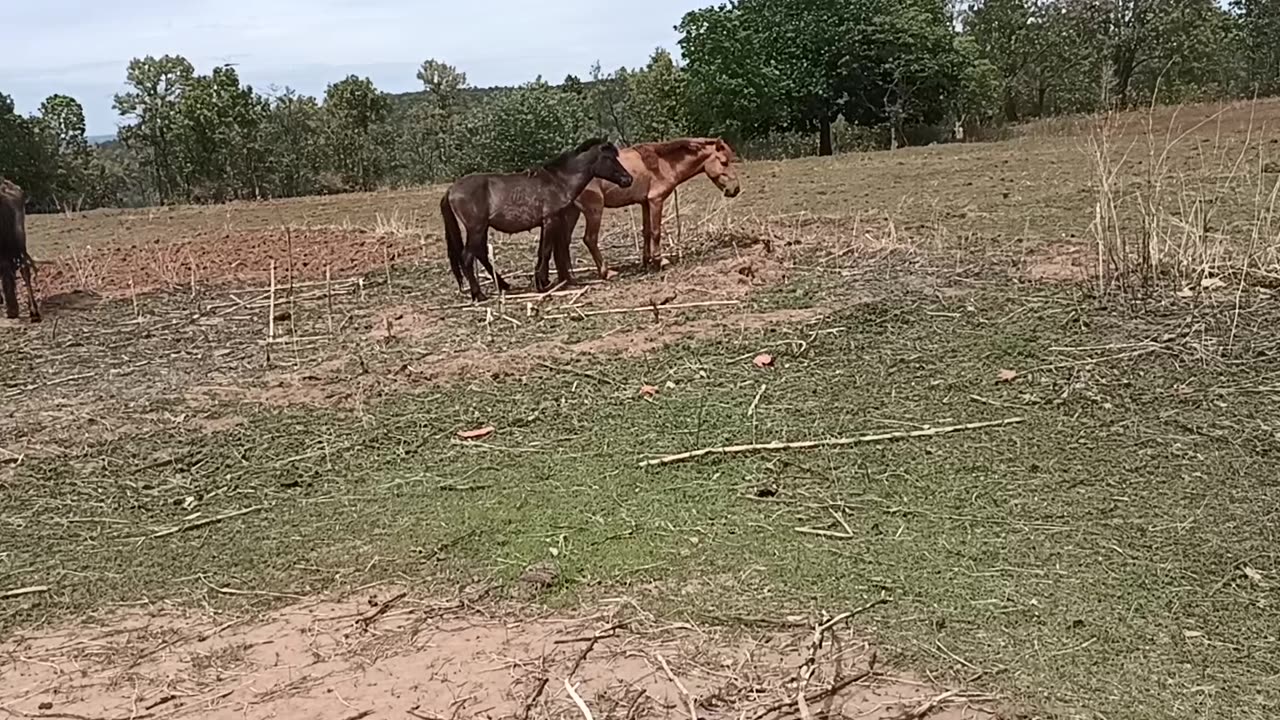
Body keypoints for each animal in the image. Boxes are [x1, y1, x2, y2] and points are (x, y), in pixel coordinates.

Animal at [442, 137, 632, 299]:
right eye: (609, 158)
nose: (628, 179)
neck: (558, 181)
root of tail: (451, 189)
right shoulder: (551, 220)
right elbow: (547, 251)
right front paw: (542, 283)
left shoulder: (548, 222)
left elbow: (544, 251)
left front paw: (544, 280)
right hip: (476, 228)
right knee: (467, 257)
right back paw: (479, 294)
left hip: (482, 228)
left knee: (481, 253)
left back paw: (503, 284)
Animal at [537, 137, 747, 288]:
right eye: (724, 162)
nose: (735, 189)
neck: (662, 163)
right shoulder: (656, 201)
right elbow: (656, 232)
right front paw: (660, 261)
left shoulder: (645, 203)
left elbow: (646, 232)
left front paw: (646, 262)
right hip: (593, 210)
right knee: (590, 239)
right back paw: (606, 272)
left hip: (572, 213)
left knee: (563, 243)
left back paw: (568, 279)